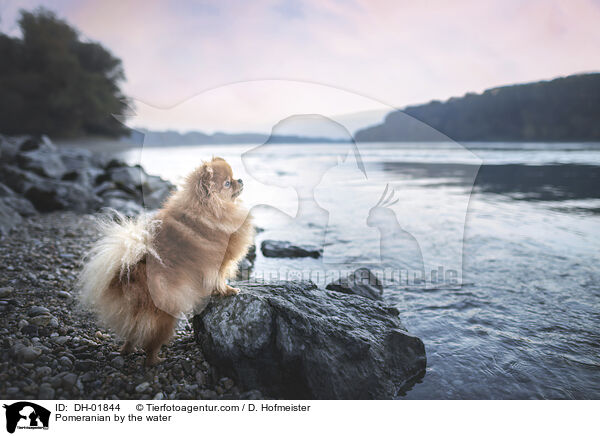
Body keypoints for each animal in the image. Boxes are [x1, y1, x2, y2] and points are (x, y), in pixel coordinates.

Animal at [77, 157, 253, 364]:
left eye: (233, 178)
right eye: (227, 183)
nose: (239, 180)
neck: (209, 209)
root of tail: (128, 275)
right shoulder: (217, 265)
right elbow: (219, 280)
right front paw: (229, 290)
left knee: (132, 335)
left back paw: (126, 350)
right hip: (164, 316)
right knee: (151, 344)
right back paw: (156, 361)